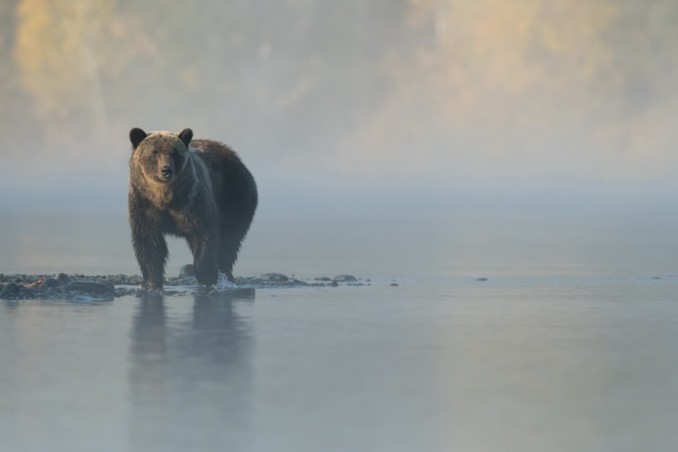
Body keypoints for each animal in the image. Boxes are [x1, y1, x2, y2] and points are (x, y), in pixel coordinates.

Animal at [128, 127, 257, 291]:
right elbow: (149, 240)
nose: (166, 170)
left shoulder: (192, 201)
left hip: (235, 195)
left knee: (230, 240)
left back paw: (225, 275)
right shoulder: (144, 204)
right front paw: (151, 283)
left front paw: (208, 276)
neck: (165, 198)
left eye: (174, 152)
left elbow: (203, 233)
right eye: (154, 152)